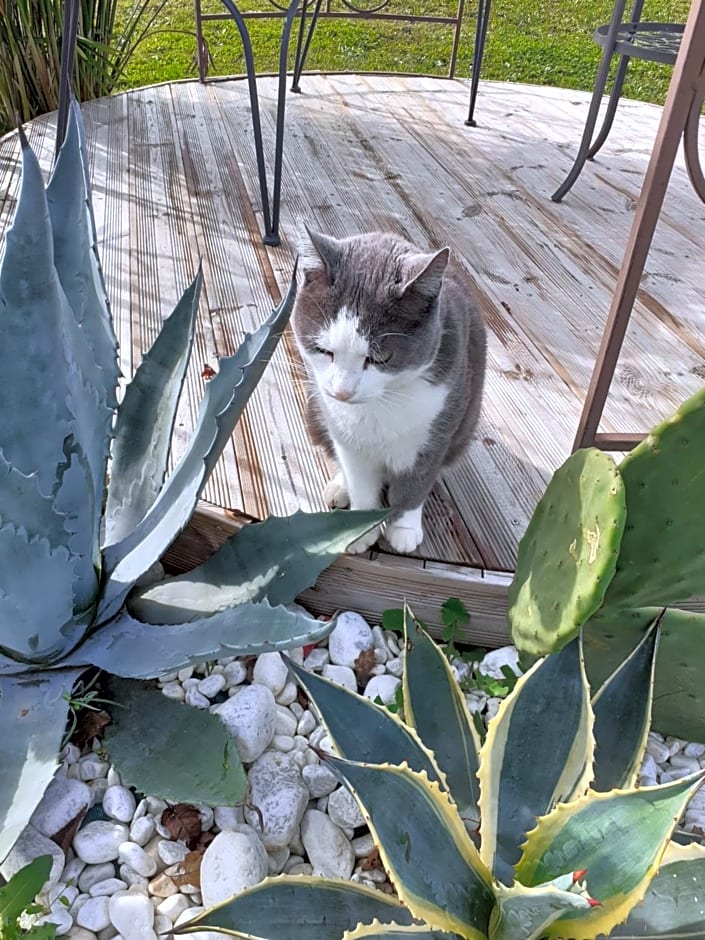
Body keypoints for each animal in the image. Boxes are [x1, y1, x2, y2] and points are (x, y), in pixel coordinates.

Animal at [292, 227, 484, 552]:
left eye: (380, 357)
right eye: (322, 350)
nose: (342, 393)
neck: (381, 403)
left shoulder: (435, 431)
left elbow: (416, 482)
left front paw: (404, 529)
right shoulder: (344, 435)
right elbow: (359, 479)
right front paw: (358, 530)